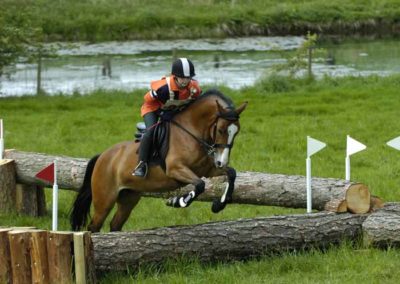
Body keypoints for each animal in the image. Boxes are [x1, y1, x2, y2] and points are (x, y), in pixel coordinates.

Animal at [70, 90, 248, 232]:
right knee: (94, 226)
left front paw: (219, 204)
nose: (221, 161)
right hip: (105, 199)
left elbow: (231, 174)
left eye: (237, 132)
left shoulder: (208, 170)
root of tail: (103, 156)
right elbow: (199, 185)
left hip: (129, 197)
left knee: (115, 224)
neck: (192, 132)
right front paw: (178, 201)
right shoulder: (175, 169)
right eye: (221, 130)